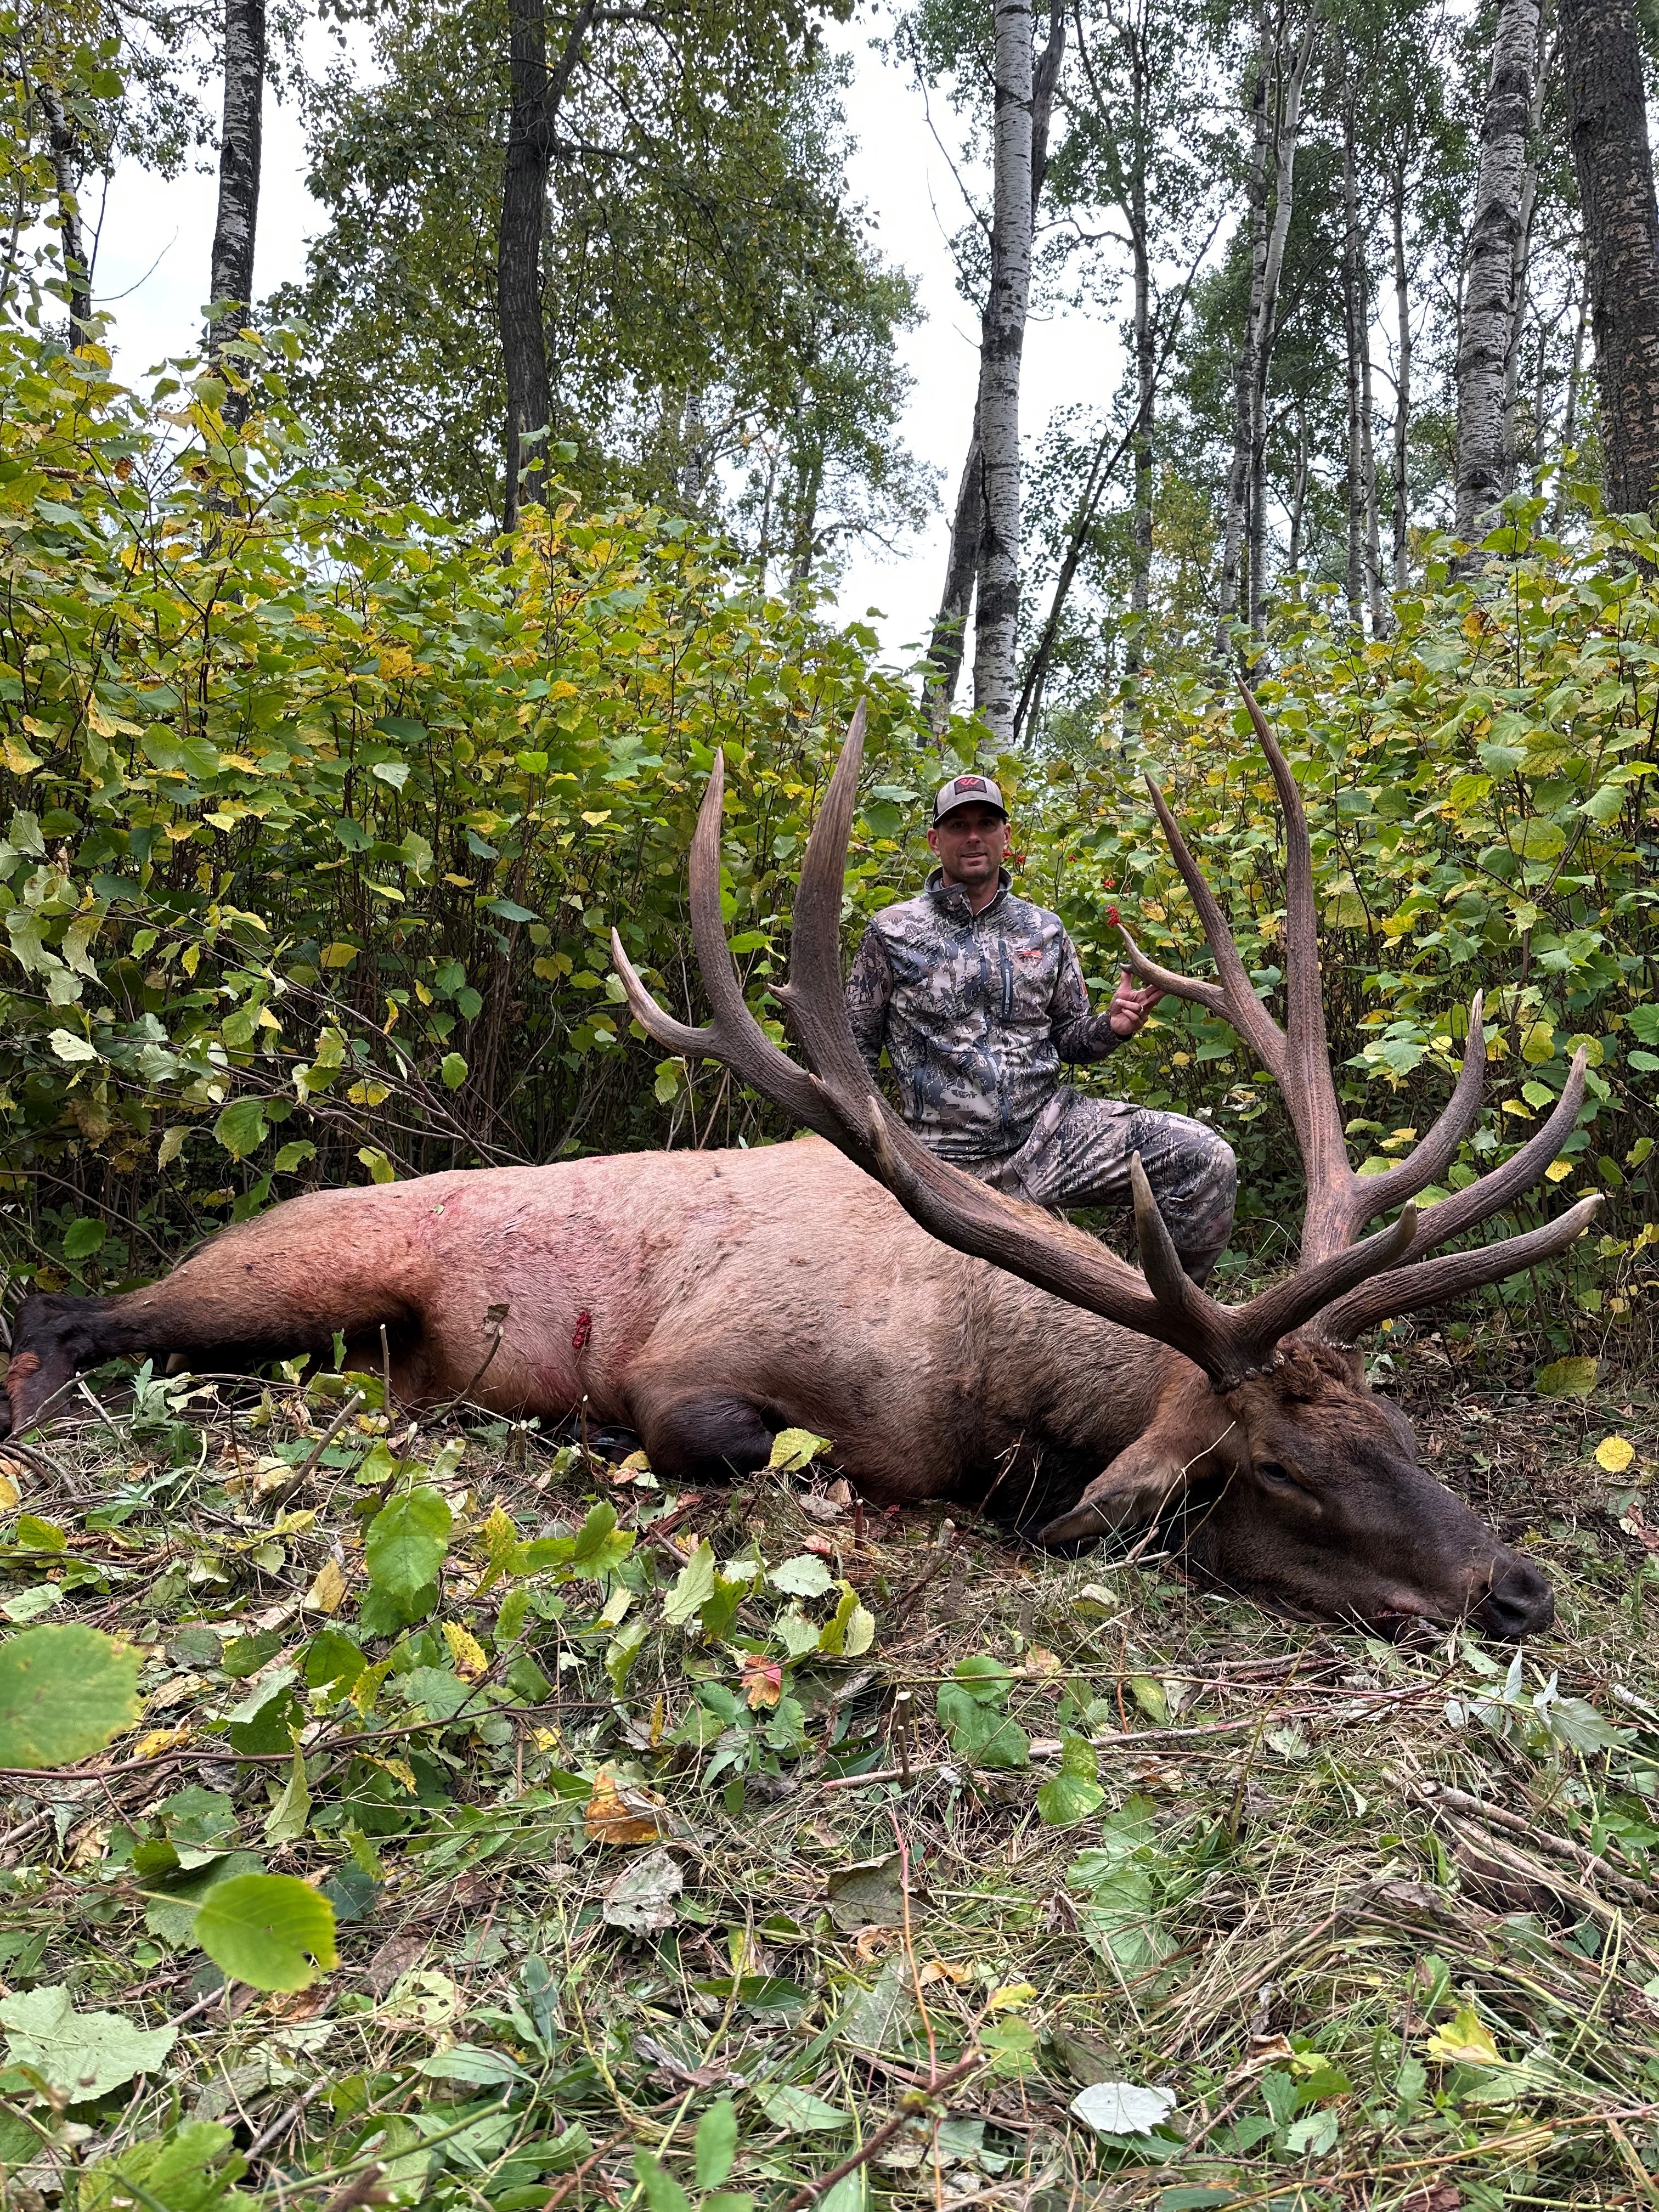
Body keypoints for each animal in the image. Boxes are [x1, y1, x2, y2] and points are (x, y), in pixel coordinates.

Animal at [0, 696, 1595, 1637]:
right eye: (1278, 1467)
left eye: (1395, 1421)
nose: (1516, 1586)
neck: (980, 1375)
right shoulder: (694, 1367)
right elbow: (745, 1447)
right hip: (291, 1274)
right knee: (68, 1314)